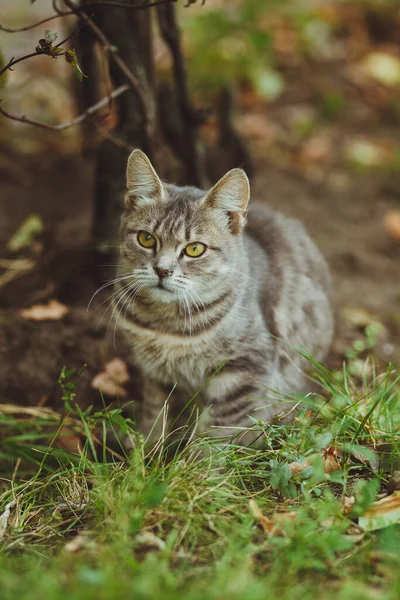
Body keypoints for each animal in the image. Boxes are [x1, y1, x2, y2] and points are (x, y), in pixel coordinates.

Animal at [115, 151, 334, 446]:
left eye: (195, 249)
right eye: (146, 239)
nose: (162, 270)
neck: (167, 324)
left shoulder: (244, 370)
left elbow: (216, 433)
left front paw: (197, 458)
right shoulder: (155, 374)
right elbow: (154, 415)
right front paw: (146, 451)